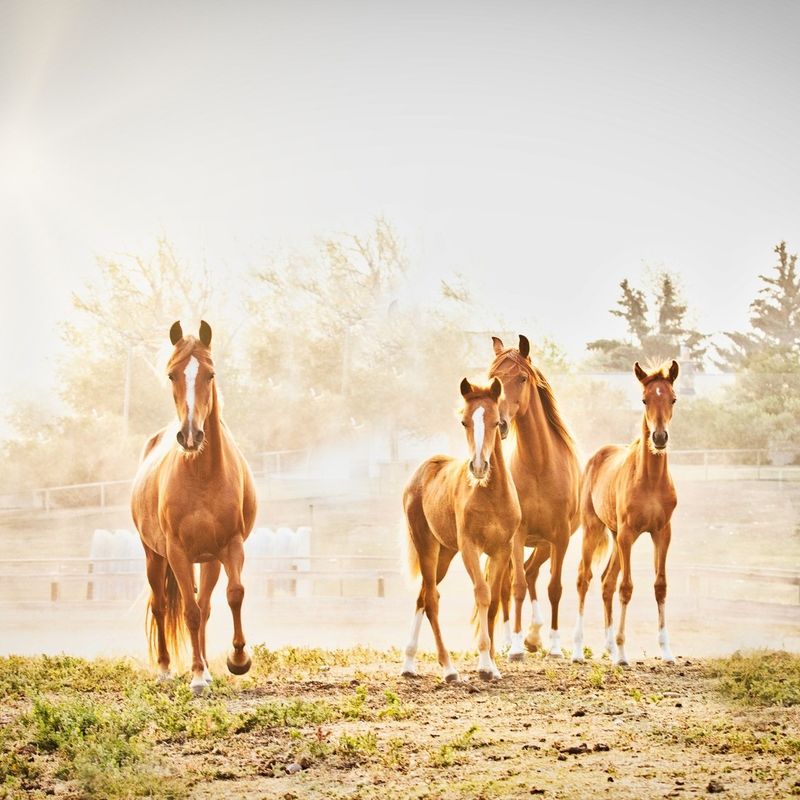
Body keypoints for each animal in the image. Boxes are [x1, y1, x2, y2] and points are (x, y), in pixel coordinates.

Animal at [131, 322, 256, 692]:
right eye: (172, 375)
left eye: (210, 374)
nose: (190, 436)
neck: (202, 474)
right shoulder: (177, 553)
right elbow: (188, 611)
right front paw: (197, 675)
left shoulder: (230, 545)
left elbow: (234, 594)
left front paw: (238, 659)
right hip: (154, 556)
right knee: (161, 606)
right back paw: (166, 668)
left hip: (209, 559)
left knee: (206, 606)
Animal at [404, 378, 520, 680]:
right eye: (465, 422)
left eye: (496, 422)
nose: (478, 467)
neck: (490, 494)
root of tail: (422, 471)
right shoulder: (470, 548)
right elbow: (481, 593)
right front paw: (484, 664)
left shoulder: (501, 550)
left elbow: (493, 601)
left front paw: (492, 666)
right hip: (427, 546)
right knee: (431, 599)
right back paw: (448, 668)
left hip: (445, 552)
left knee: (422, 596)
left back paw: (408, 663)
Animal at [490, 336, 580, 656]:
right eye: (493, 379)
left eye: (522, 378)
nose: (501, 424)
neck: (540, 465)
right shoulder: (518, 535)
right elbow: (515, 587)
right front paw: (515, 647)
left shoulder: (560, 536)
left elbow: (554, 588)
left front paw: (553, 645)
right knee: (506, 585)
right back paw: (508, 640)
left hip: (544, 545)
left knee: (531, 573)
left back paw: (535, 635)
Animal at [572, 360, 680, 664]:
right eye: (644, 399)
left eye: (673, 399)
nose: (659, 437)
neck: (650, 480)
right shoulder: (629, 534)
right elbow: (627, 588)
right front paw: (622, 652)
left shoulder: (662, 533)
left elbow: (660, 585)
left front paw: (666, 650)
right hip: (595, 529)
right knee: (584, 578)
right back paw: (578, 649)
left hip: (616, 535)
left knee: (606, 581)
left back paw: (607, 646)